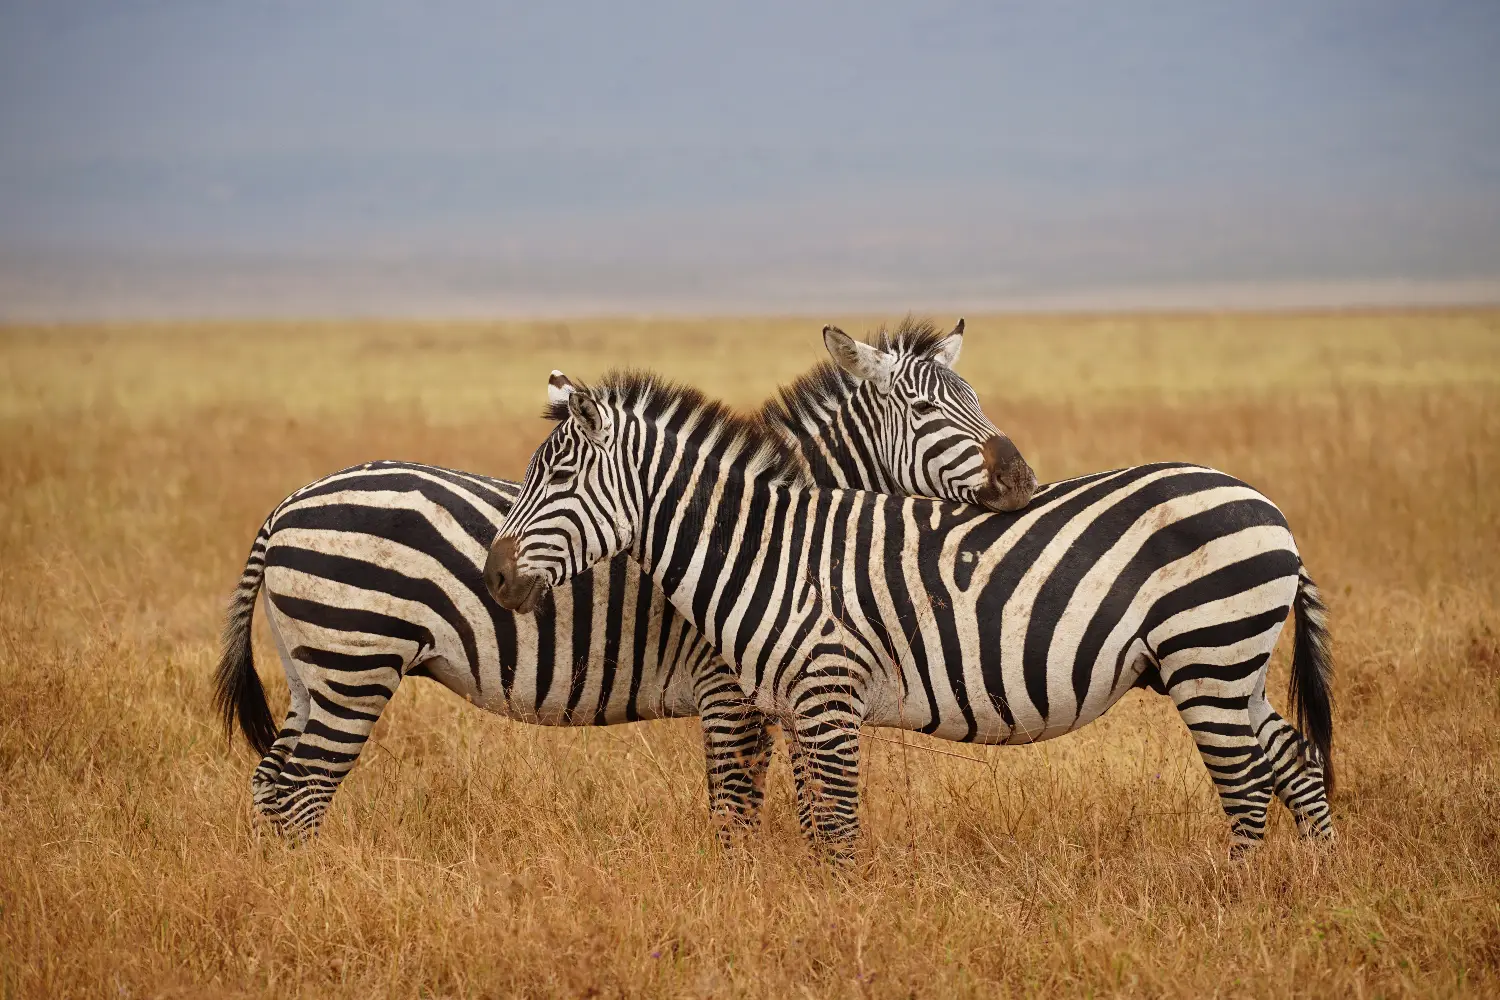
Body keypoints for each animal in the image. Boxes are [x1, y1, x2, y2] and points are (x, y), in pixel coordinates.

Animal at [214, 318, 1037, 837]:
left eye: (976, 399)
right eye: (927, 408)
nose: (1022, 479)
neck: (774, 524)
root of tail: (287, 505)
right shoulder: (730, 692)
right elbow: (738, 810)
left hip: (313, 671)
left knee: (272, 785)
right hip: (354, 660)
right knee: (300, 792)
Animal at [487, 370, 1335, 857]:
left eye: (557, 478)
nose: (494, 576)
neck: (768, 549)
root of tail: (1268, 507)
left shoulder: (827, 695)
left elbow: (836, 831)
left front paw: (840, 927)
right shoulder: (793, 707)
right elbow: (811, 824)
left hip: (1208, 655)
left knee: (1246, 782)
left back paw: (1238, 900)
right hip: (1230, 665)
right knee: (1294, 761)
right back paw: (1315, 886)